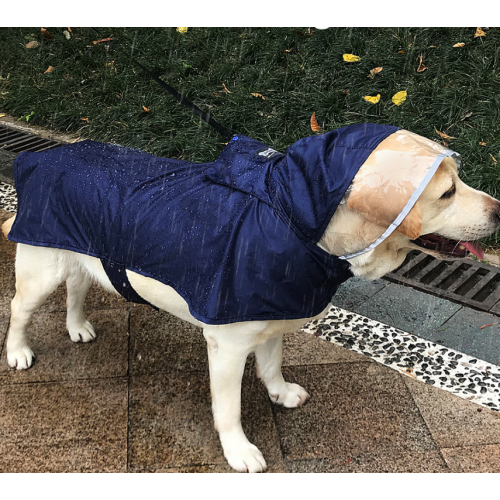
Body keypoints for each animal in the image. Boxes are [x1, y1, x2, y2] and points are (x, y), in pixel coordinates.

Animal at [2, 127, 500, 470]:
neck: (296, 223)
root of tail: (44, 157)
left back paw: (76, 326)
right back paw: (19, 351)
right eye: (448, 192)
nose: (499, 210)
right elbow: (229, 407)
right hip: (39, 268)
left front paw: (280, 392)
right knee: (18, 309)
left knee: (78, 285)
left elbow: (272, 364)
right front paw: (238, 450)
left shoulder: (274, 315)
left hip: (80, 255)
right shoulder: (226, 345)